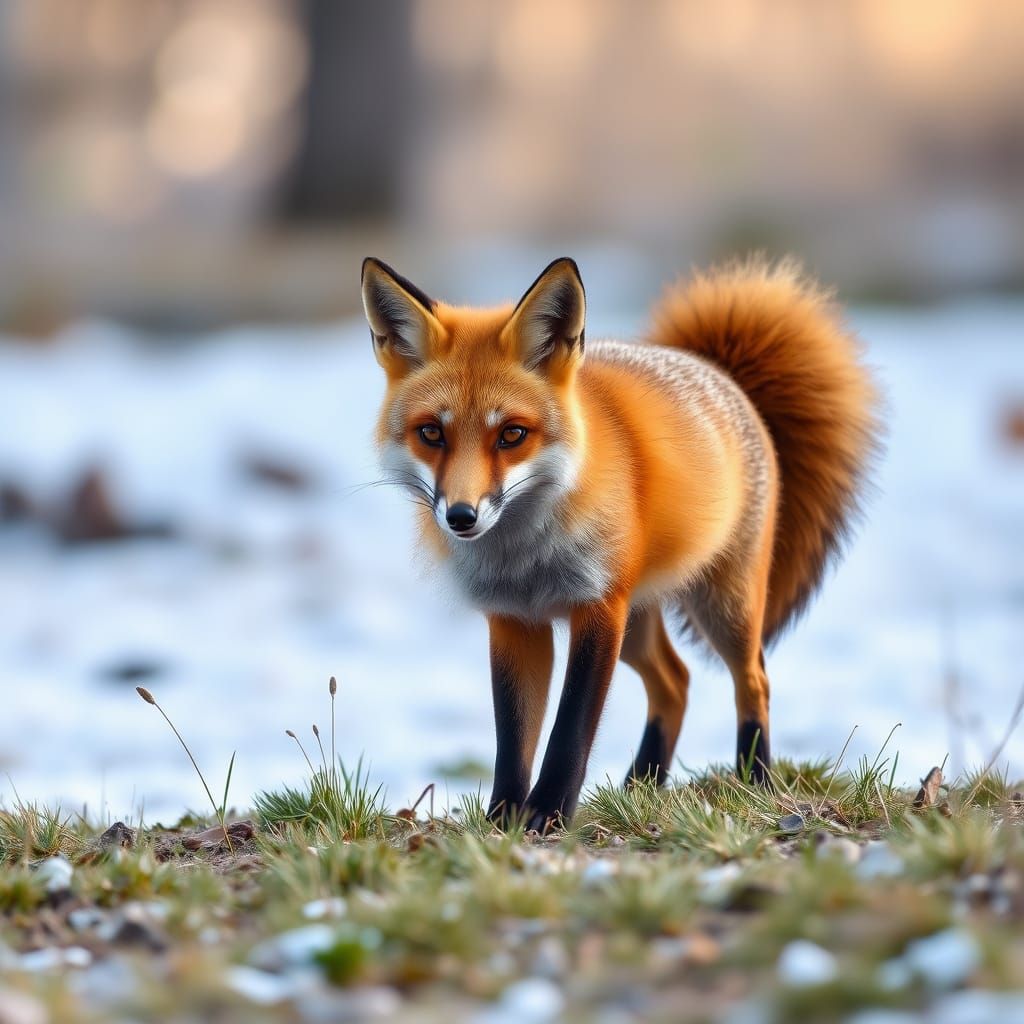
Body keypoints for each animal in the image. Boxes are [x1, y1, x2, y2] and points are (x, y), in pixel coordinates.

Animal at [361, 254, 881, 833]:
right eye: (432, 434)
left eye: (512, 435)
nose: (461, 516)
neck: (526, 559)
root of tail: (716, 370)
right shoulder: (514, 621)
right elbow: (513, 739)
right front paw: (502, 821)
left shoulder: (598, 608)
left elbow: (570, 729)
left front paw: (547, 814)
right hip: (639, 625)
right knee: (675, 681)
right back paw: (642, 786)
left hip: (721, 607)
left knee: (754, 680)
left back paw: (756, 781)